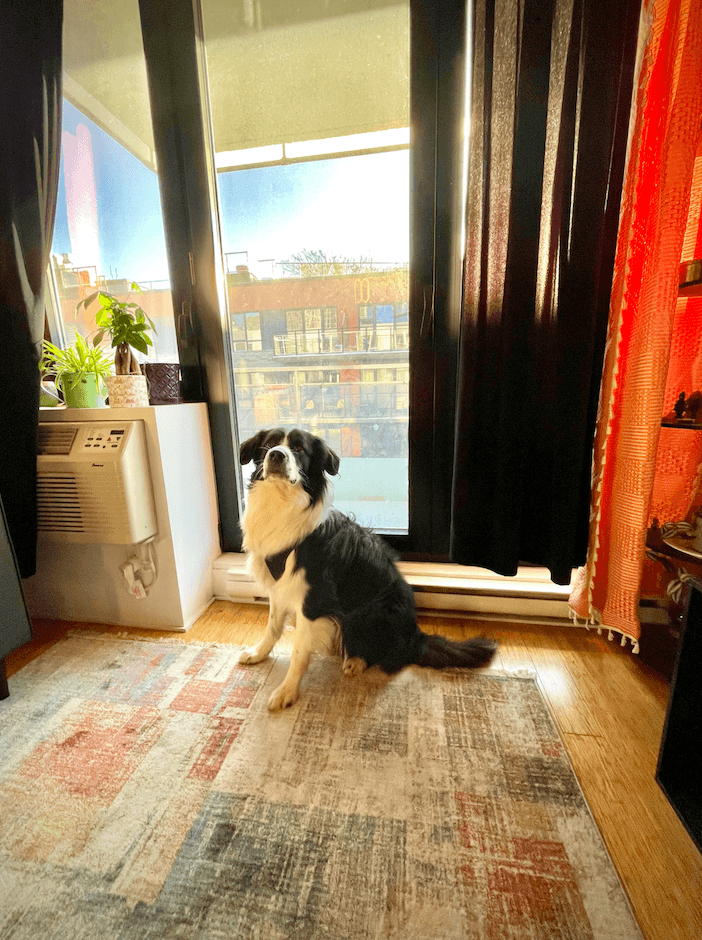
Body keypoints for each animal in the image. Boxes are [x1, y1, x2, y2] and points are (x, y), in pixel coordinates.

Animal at [238, 427, 497, 711]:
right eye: (269, 444)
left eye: (298, 448)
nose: (276, 455)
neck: (281, 502)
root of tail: (416, 637)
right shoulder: (280, 588)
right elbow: (273, 626)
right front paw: (258, 653)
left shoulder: (314, 599)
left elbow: (298, 652)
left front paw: (287, 691)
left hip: (367, 612)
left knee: (392, 657)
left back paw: (355, 660)